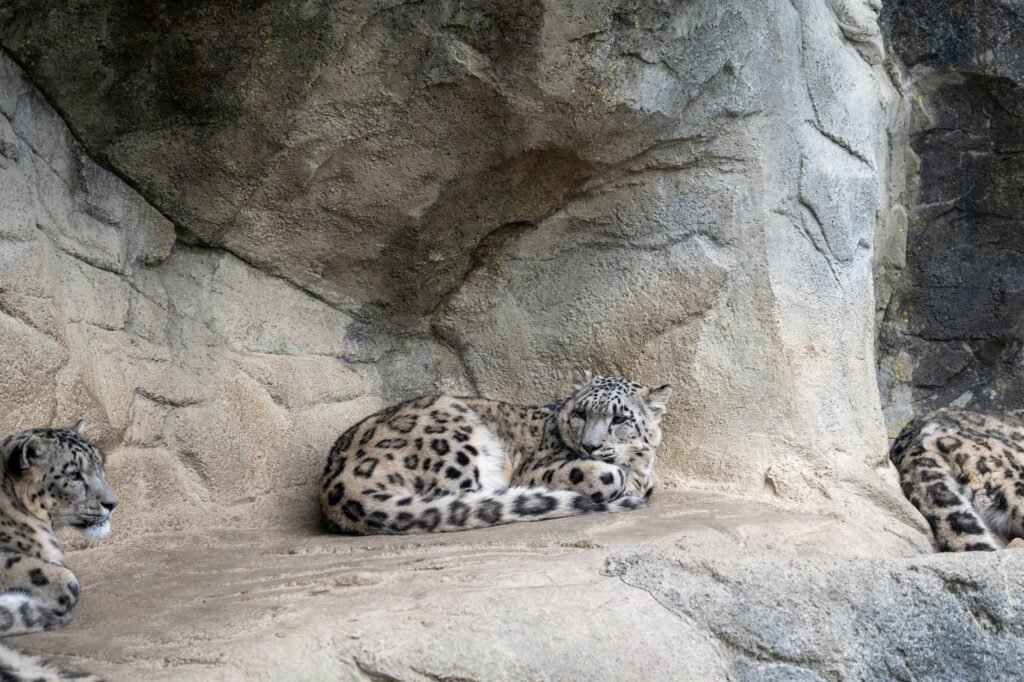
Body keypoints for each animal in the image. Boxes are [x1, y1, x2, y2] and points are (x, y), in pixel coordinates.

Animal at [320, 370, 672, 535]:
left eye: (620, 418)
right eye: (581, 413)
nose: (590, 445)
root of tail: (335, 483)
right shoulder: (534, 469)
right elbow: (606, 476)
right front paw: (618, 479)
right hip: (457, 439)